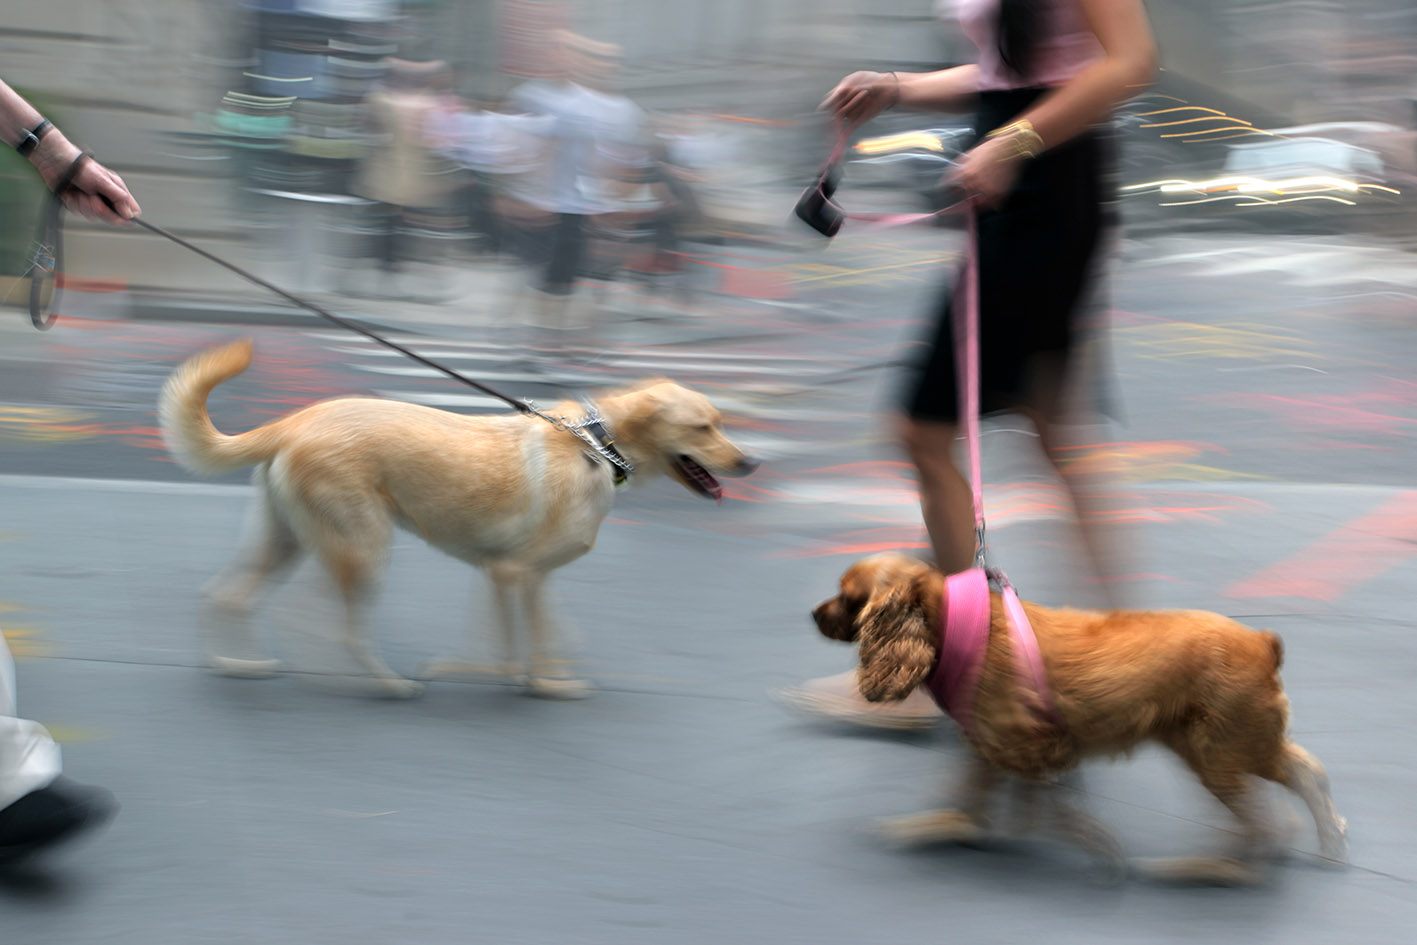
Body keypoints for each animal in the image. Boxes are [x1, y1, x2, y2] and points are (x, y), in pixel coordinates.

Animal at [162, 335, 759, 699]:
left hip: (284, 541)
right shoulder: (514, 574)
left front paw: (531, 678)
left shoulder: (511, 575)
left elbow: (538, 635)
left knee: (225, 595)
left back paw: (239, 666)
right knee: (332, 626)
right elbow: (522, 642)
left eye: (719, 421)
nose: (752, 462)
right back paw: (386, 685)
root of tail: (292, 423)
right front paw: (531, 682)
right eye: (704, 427)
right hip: (363, 548)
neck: (597, 444)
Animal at [816, 549, 1343, 884]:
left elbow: (1054, 813)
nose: (813, 615)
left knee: (1268, 824)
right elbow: (970, 803)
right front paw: (943, 827)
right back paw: (1330, 838)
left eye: (848, 596)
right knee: (1304, 771)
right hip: (1220, 744)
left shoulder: (1034, 745)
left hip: (1220, 750)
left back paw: (1211, 872)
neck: (949, 625)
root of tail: (1264, 643)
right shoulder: (996, 747)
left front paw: (1097, 846)